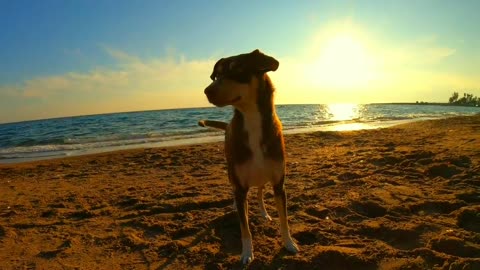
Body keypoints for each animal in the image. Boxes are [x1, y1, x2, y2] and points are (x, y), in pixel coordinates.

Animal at [198, 49, 296, 264]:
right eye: (217, 75)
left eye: (237, 70)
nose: (207, 91)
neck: (251, 120)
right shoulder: (240, 186)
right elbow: (245, 228)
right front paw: (247, 253)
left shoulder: (279, 184)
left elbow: (284, 220)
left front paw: (289, 243)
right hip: (232, 173)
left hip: (263, 176)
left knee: (259, 192)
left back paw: (263, 212)